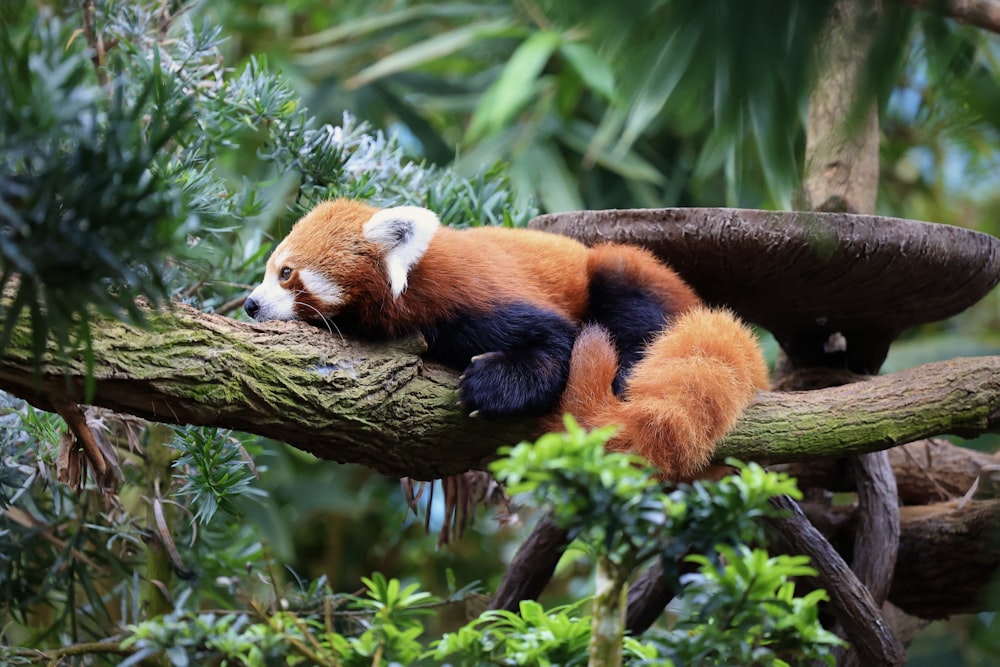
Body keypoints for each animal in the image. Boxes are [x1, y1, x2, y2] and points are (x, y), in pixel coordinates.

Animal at [246, 198, 768, 480]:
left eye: (286, 272)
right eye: (270, 270)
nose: (250, 305)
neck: (413, 283)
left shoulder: (470, 299)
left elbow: (557, 343)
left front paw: (492, 386)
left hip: (631, 275)